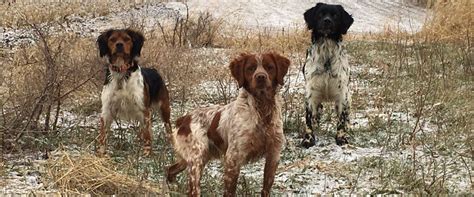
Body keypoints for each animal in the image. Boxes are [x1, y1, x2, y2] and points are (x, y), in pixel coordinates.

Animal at [167, 52, 292, 195]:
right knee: (193, 190)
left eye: (269, 67)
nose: (260, 77)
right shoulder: (233, 158)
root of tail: (184, 119)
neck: (262, 111)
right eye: (250, 68)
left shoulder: (273, 155)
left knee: (170, 170)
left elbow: (266, 188)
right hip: (197, 160)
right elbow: (230, 191)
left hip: (192, 158)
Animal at [302, 2, 354, 148]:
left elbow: (341, 120)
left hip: (348, 99)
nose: (327, 21)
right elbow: (308, 120)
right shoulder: (311, 92)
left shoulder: (342, 94)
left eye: (335, 15)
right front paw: (308, 139)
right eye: (320, 14)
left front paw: (341, 137)